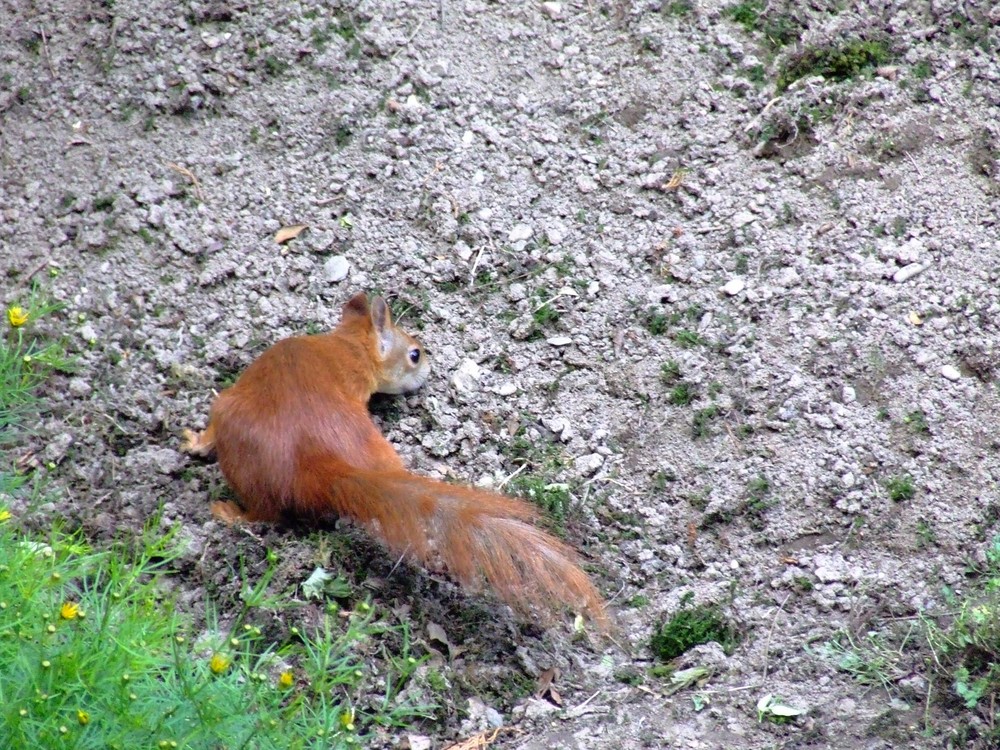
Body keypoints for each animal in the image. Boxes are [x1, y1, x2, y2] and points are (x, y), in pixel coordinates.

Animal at [183, 290, 604, 624]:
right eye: (415, 354)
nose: (430, 368)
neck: (345, 345)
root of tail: (319, 466)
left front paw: (195, 442)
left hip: (237, 436)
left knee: (263, 515)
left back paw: (229, 513)